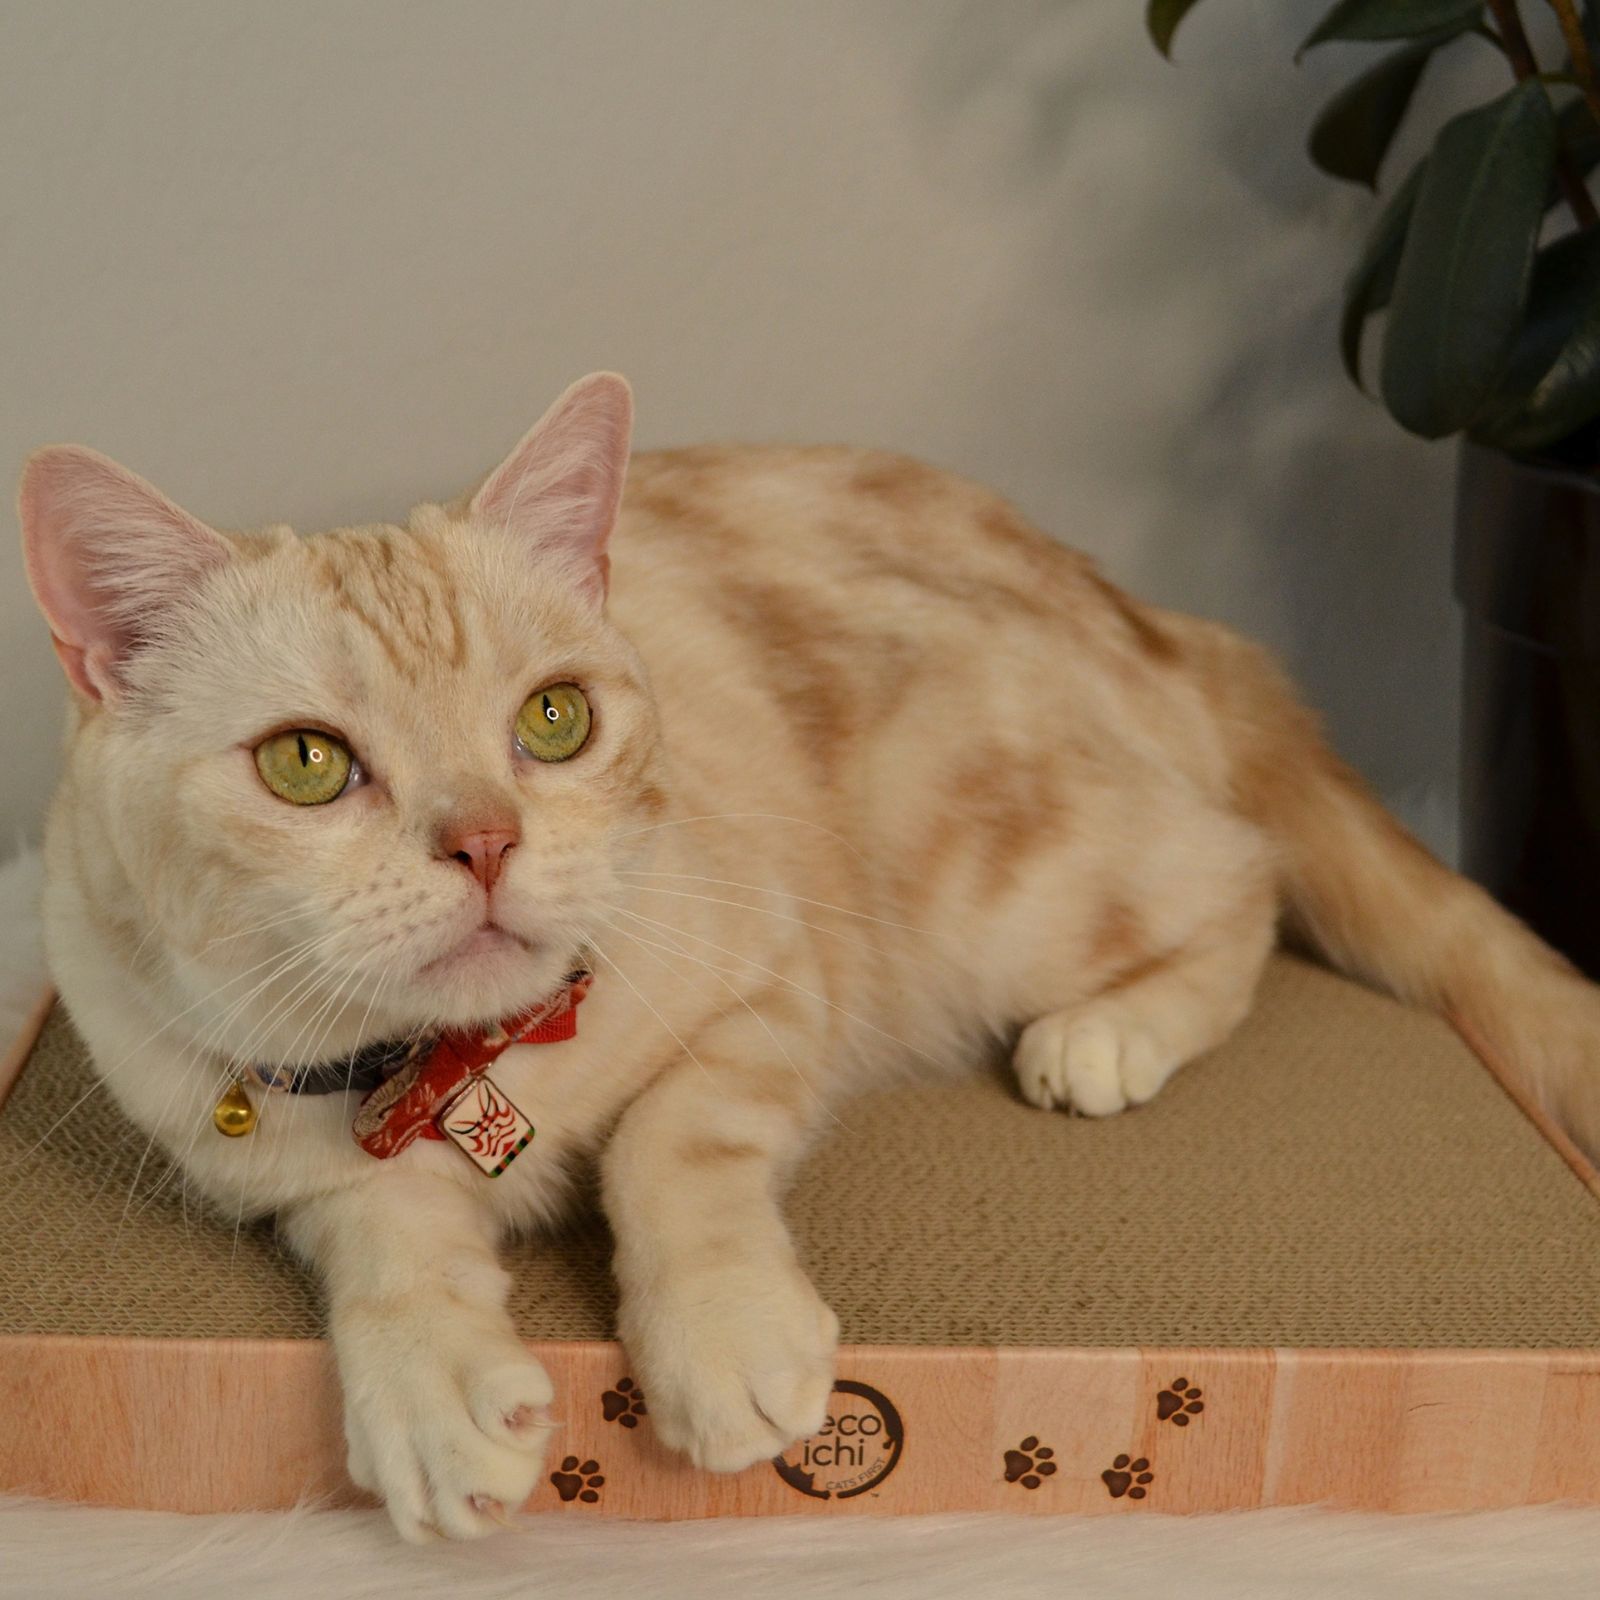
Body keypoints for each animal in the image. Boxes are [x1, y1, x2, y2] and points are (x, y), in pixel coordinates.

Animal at [18, 374, 1600, 1536]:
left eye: (552, 722)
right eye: (304, 764)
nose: (483, 843)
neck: (478, 1072)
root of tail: (1148, 610)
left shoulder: (780, 986)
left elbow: (673, 1146)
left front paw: (720, 1342)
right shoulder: (269, 1156)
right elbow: (382, 1232)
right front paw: (433, 1395)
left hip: (994, 861)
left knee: (1238, 883)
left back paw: (1105, 1036)